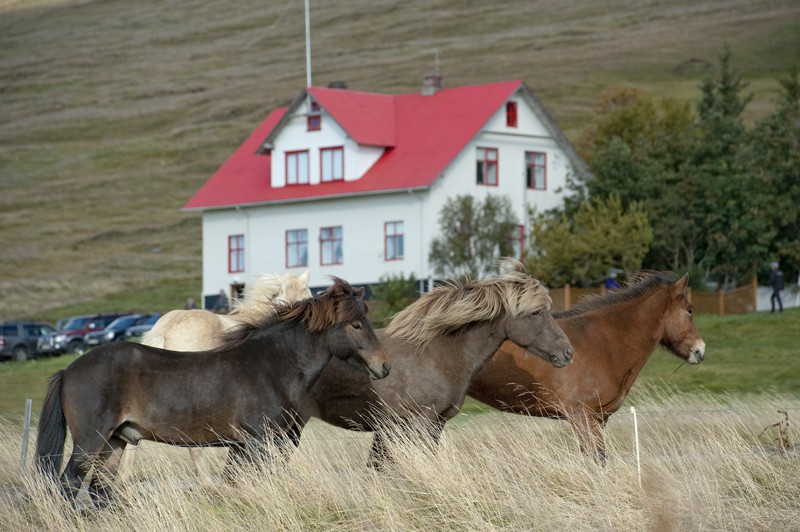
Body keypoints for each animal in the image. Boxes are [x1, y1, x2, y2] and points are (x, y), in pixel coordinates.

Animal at [36, 278, 392, 502]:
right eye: (356, 324)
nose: (384, 366)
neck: (270, 365)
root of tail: (69, 370)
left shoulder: (248, 445)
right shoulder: (259, 442)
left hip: (115, 442)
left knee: (99, 489)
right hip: (90, 442)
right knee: (70, 484)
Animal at [468, 270, 708, 462]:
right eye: (689, 310)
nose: (700, 350)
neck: (603, 343)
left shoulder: (598, 419)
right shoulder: (582, 417)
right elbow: (597, 460)